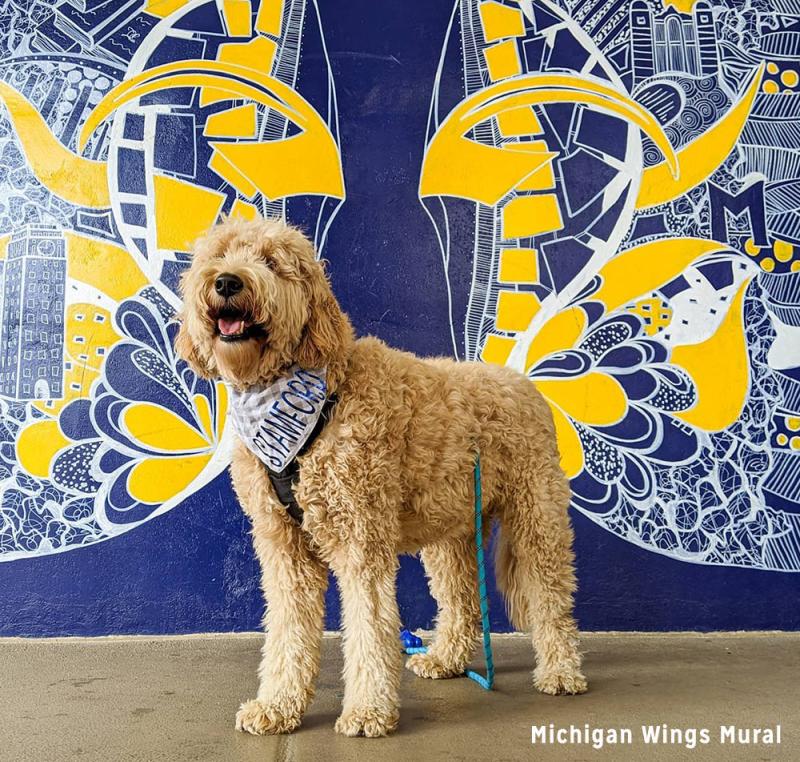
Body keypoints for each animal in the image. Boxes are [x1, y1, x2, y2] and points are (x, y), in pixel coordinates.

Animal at [175, 215, 588, 736]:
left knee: (551, 595)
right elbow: (287, 629)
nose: (228, 282)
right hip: (450, 529)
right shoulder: (283, 545)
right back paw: (447, 658)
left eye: (271, 261)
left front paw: (368, 710)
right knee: (461, 597)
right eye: (218, 257)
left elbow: (370, 626)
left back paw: (561, 670)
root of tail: (526, 385)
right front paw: (278, 705)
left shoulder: (361, 536)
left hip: (536, 516)